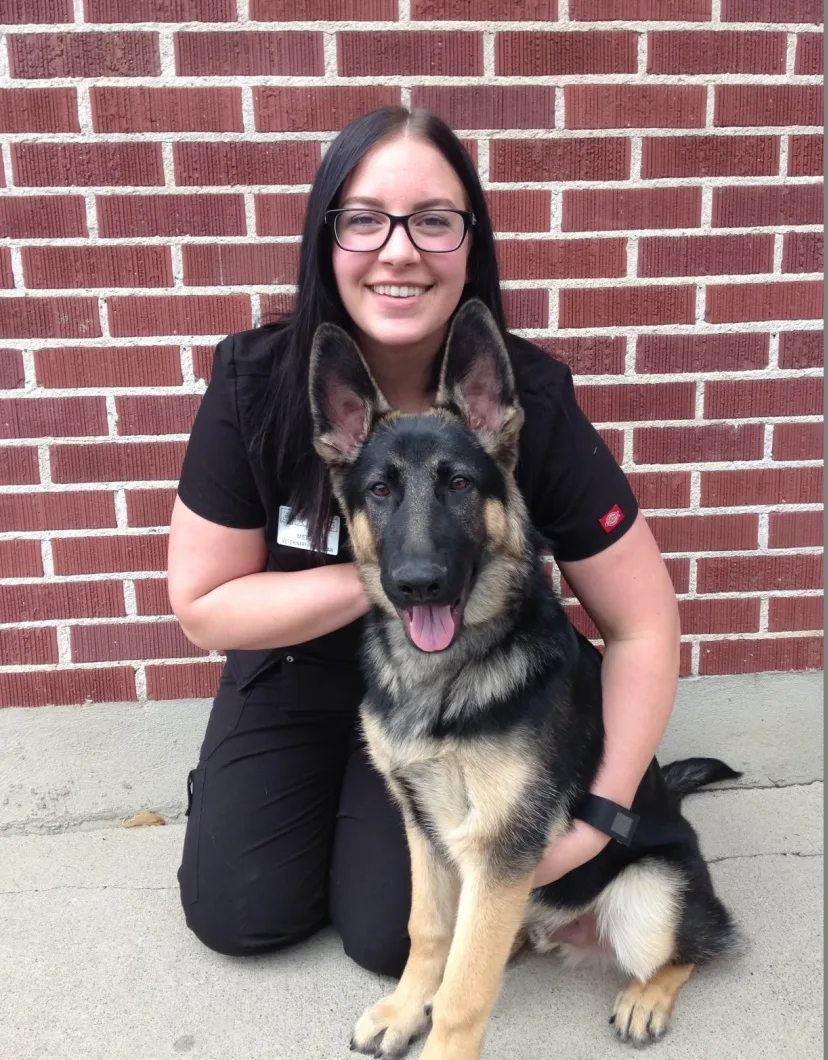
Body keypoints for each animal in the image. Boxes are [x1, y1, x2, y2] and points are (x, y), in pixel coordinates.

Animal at [307, 298, 737, 1060]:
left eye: (458, 484)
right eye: (380, 491)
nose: (418, 584)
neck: (446, 677)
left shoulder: (500, 849)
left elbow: (465, 993)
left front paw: (439, 1033)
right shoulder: (426, 829)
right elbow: (429, 932)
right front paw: (405, 1008)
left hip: (648, 897)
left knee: (699, 943)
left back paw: (647, 996)